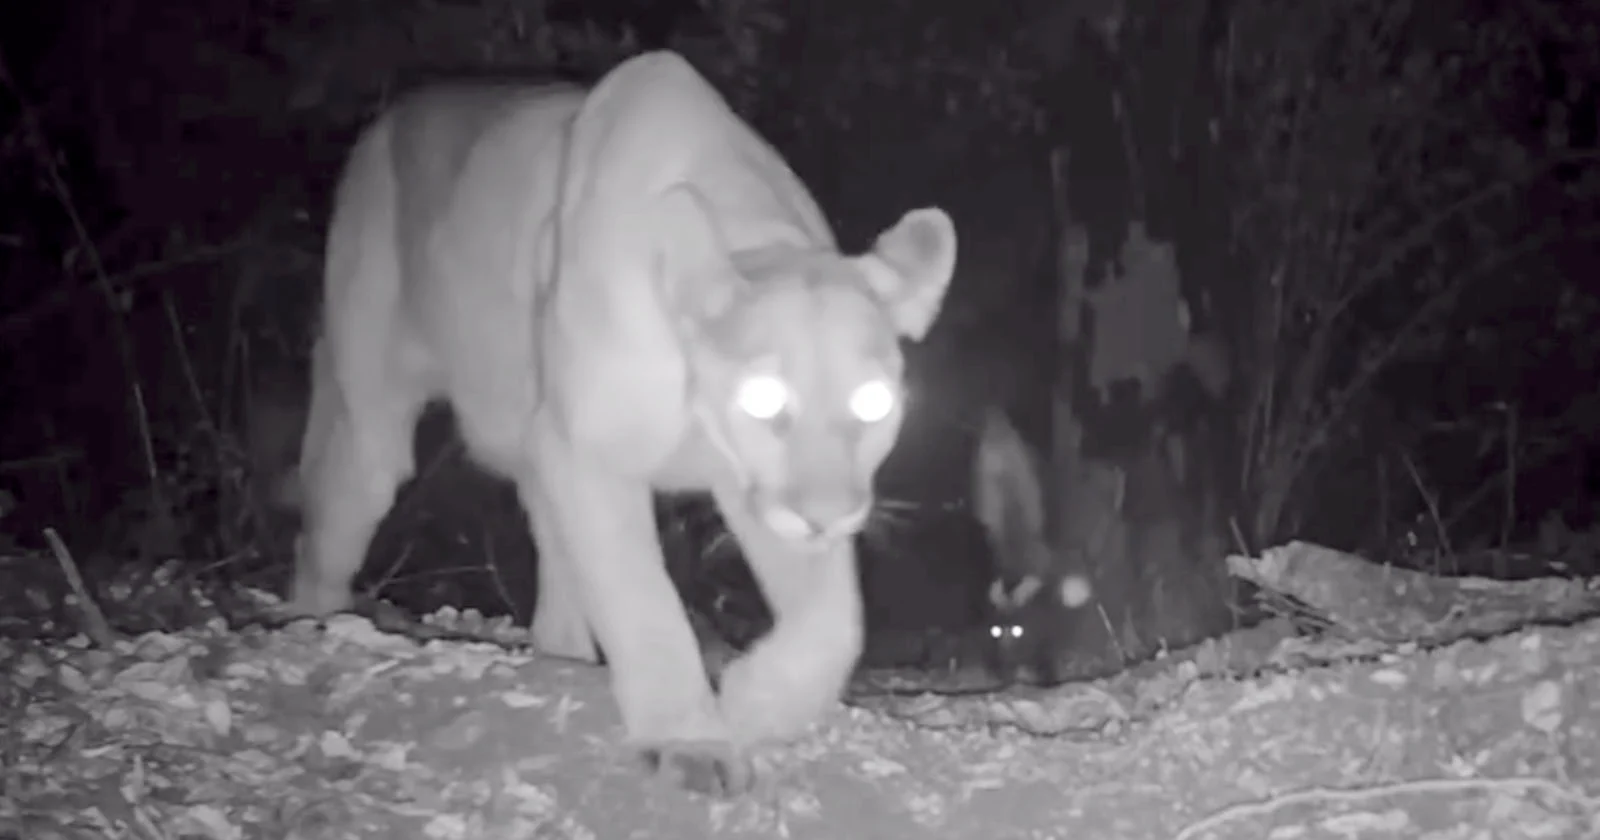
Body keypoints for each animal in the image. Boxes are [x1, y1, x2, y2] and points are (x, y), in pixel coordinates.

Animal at [285, 50, 957, 795]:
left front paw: (755, 703)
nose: (827, 517)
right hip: (373, 422)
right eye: (761, 398)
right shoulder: (591, 454)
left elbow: (837, 623)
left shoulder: (745, 492)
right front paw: (690, 742)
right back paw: (312, 627)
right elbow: (643, 600)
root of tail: (385, 122)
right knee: (327, 535)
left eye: (874, 402)